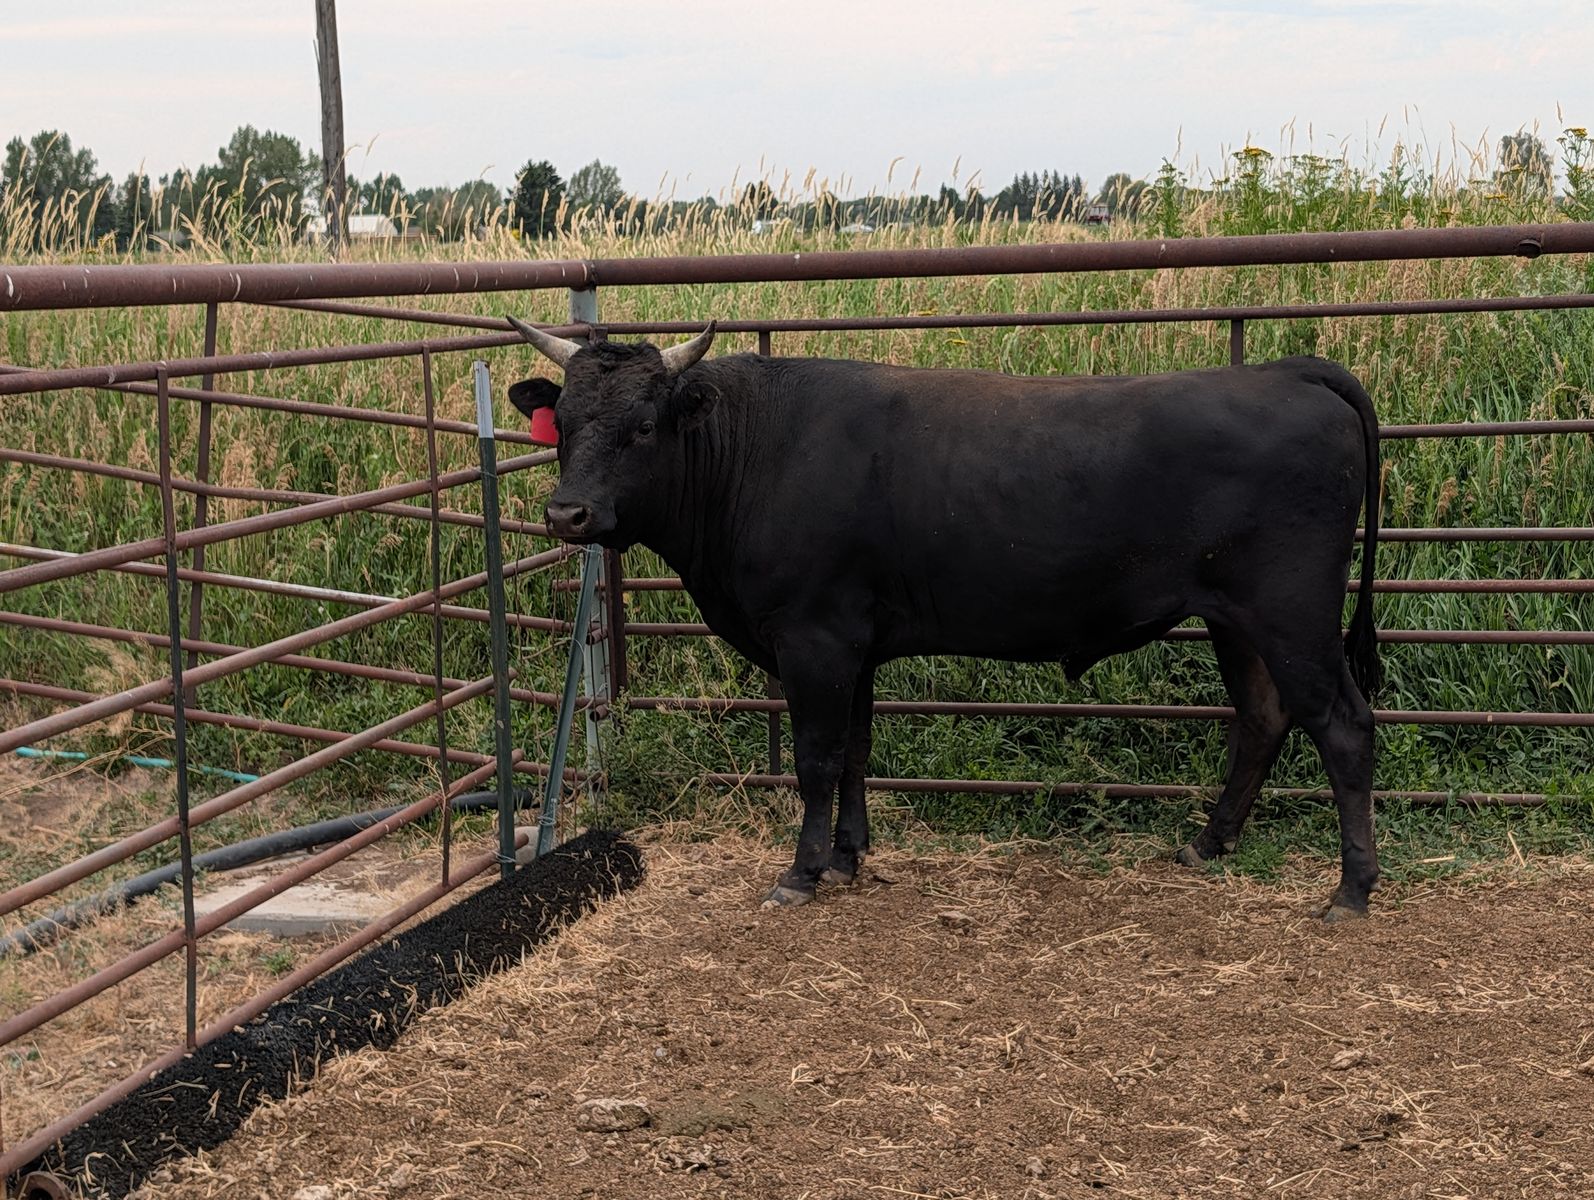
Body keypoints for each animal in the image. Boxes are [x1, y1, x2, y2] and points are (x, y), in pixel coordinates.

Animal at [506, 318, 1383, 921]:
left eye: (642, 426)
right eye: (565, 427)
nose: (567, 513)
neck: (756, 448)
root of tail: (1288, 373)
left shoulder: (814, 640)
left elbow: (817, 758)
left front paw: (802, 871)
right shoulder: (854, 645)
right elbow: (856, 753)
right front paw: (848, 858)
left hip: (1292, 614)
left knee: (1342, 728)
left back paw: (1352, 889)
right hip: (1238, 622)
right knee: (1264, 718)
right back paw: (1207, 843)